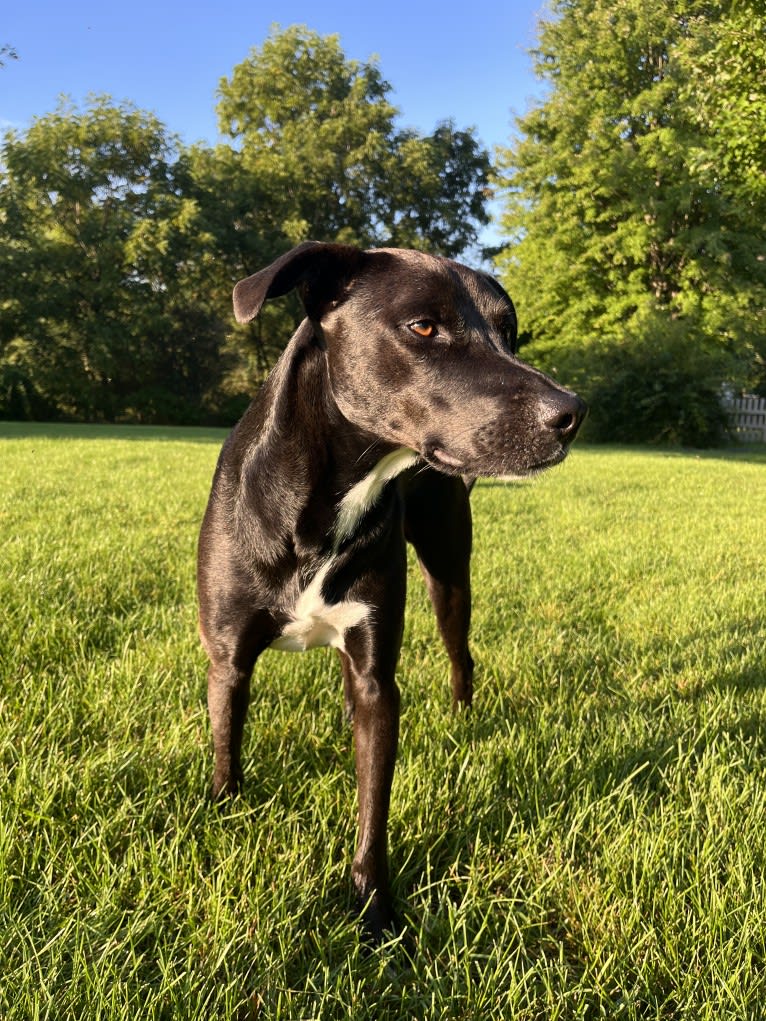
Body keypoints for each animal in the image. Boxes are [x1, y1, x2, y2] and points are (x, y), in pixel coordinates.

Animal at [198, 240, 588, 939]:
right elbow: (226, 744)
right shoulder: (228, 658)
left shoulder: (377, 673)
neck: (322, 505)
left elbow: (373, 802)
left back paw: (462, 719)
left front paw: (373, 907)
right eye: (424, 327)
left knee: (462, 654)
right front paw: (224, 812)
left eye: (509, 331)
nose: (571, 414)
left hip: (449, 576)